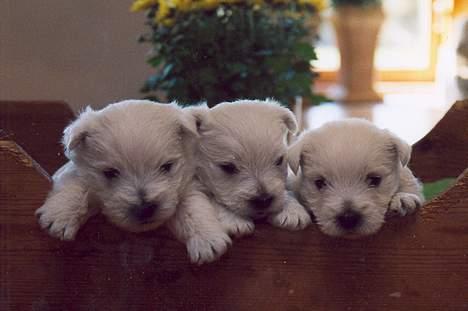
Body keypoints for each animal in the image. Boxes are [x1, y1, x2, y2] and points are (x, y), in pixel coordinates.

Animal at [36, 100, 230, 266]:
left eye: (167, 167)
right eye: (110, 173)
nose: (145, 209)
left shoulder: (186, 184)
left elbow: (192, 206)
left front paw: (206, 238)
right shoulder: (76, 170)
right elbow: (76, 180)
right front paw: (60, 215)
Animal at [192, 98, 312, 238]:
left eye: (279, 160)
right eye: (228, 167)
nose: (264, 200)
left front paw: (292, 210)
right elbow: (211, 198)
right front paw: (234, 220)